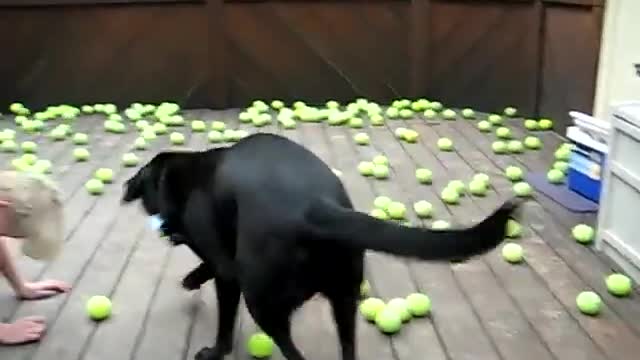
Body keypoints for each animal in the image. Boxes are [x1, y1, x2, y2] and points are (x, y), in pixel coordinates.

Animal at [122, 134, 524, 360]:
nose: (167, 231)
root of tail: (314, 206)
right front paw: (191, 278)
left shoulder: (226, 268)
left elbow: (223, 317)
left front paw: (215, 351)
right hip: (344, 298)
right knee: (347, 349)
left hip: (263, 301)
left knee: (293, 352)